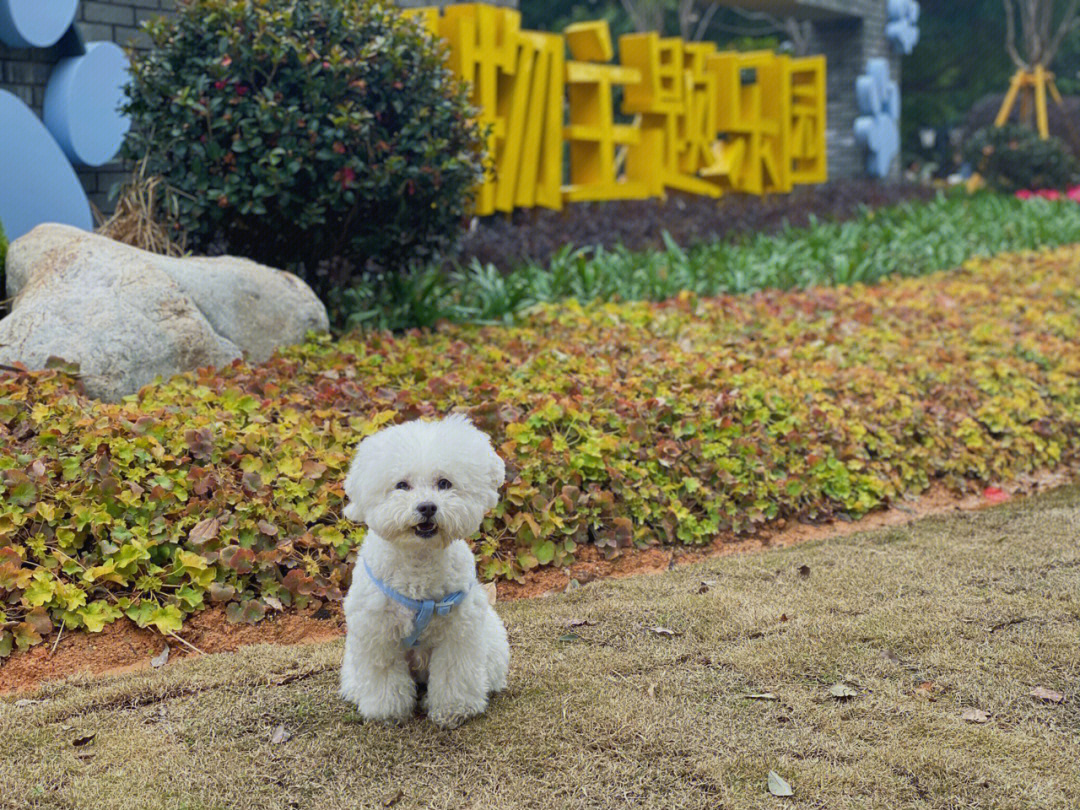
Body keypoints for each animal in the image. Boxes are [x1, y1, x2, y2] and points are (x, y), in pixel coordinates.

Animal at [339, 412, 507, 730]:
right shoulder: (377, 634)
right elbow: (384, 676)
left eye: (444, 483)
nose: (427, 507)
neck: (419, 560)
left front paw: (454, 710)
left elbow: (453, 673)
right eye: (401, 485)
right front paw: (387, 711)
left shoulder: (458, 633)